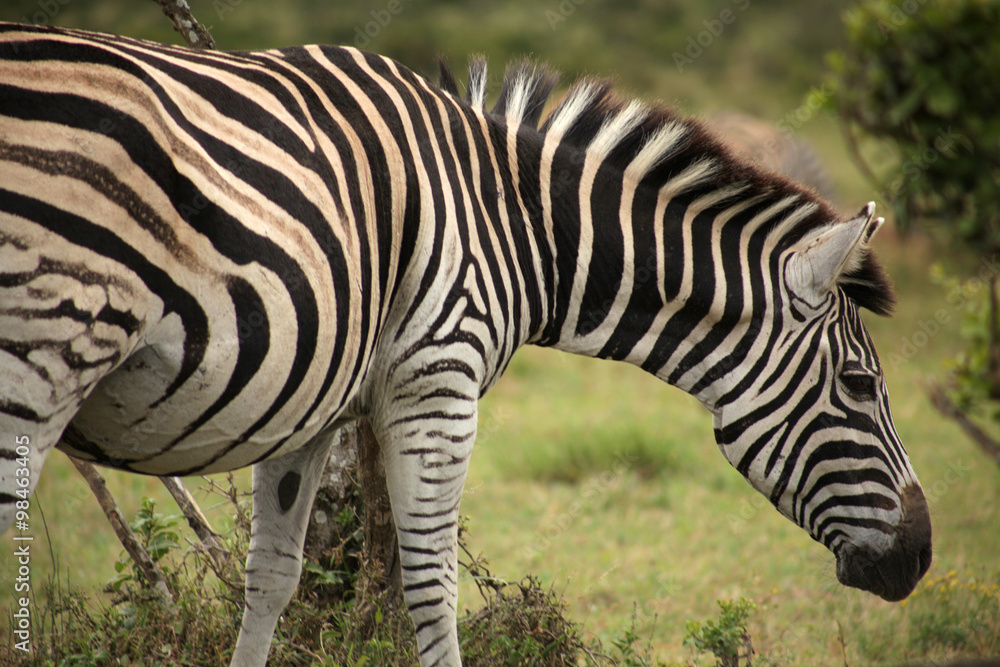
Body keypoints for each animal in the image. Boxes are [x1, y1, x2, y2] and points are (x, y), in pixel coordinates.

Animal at [0, 23, 931, 667]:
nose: (921, 557)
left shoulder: (311, 403)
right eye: (859, 384)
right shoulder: (439, 377)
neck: (515, 223)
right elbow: (431, 579)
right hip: (44, 355)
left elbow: (272, 574)